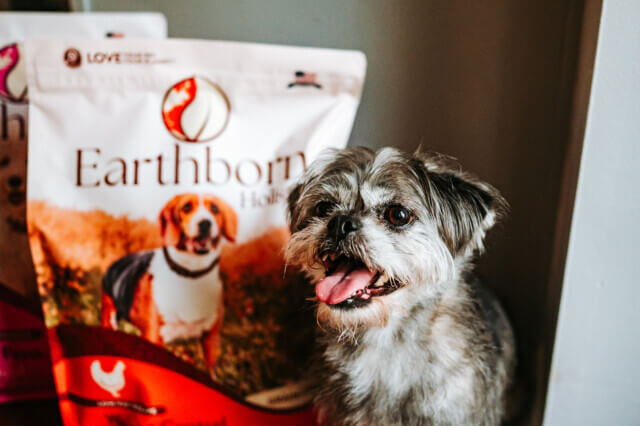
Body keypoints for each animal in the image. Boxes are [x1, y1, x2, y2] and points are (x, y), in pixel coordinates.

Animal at [101, 193, 236, 366]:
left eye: (215, 208)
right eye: (186, 207)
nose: (205, 223)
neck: (191, 275)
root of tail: (114, 263)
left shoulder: (211, 339)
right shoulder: (153, 335)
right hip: (109, 317)